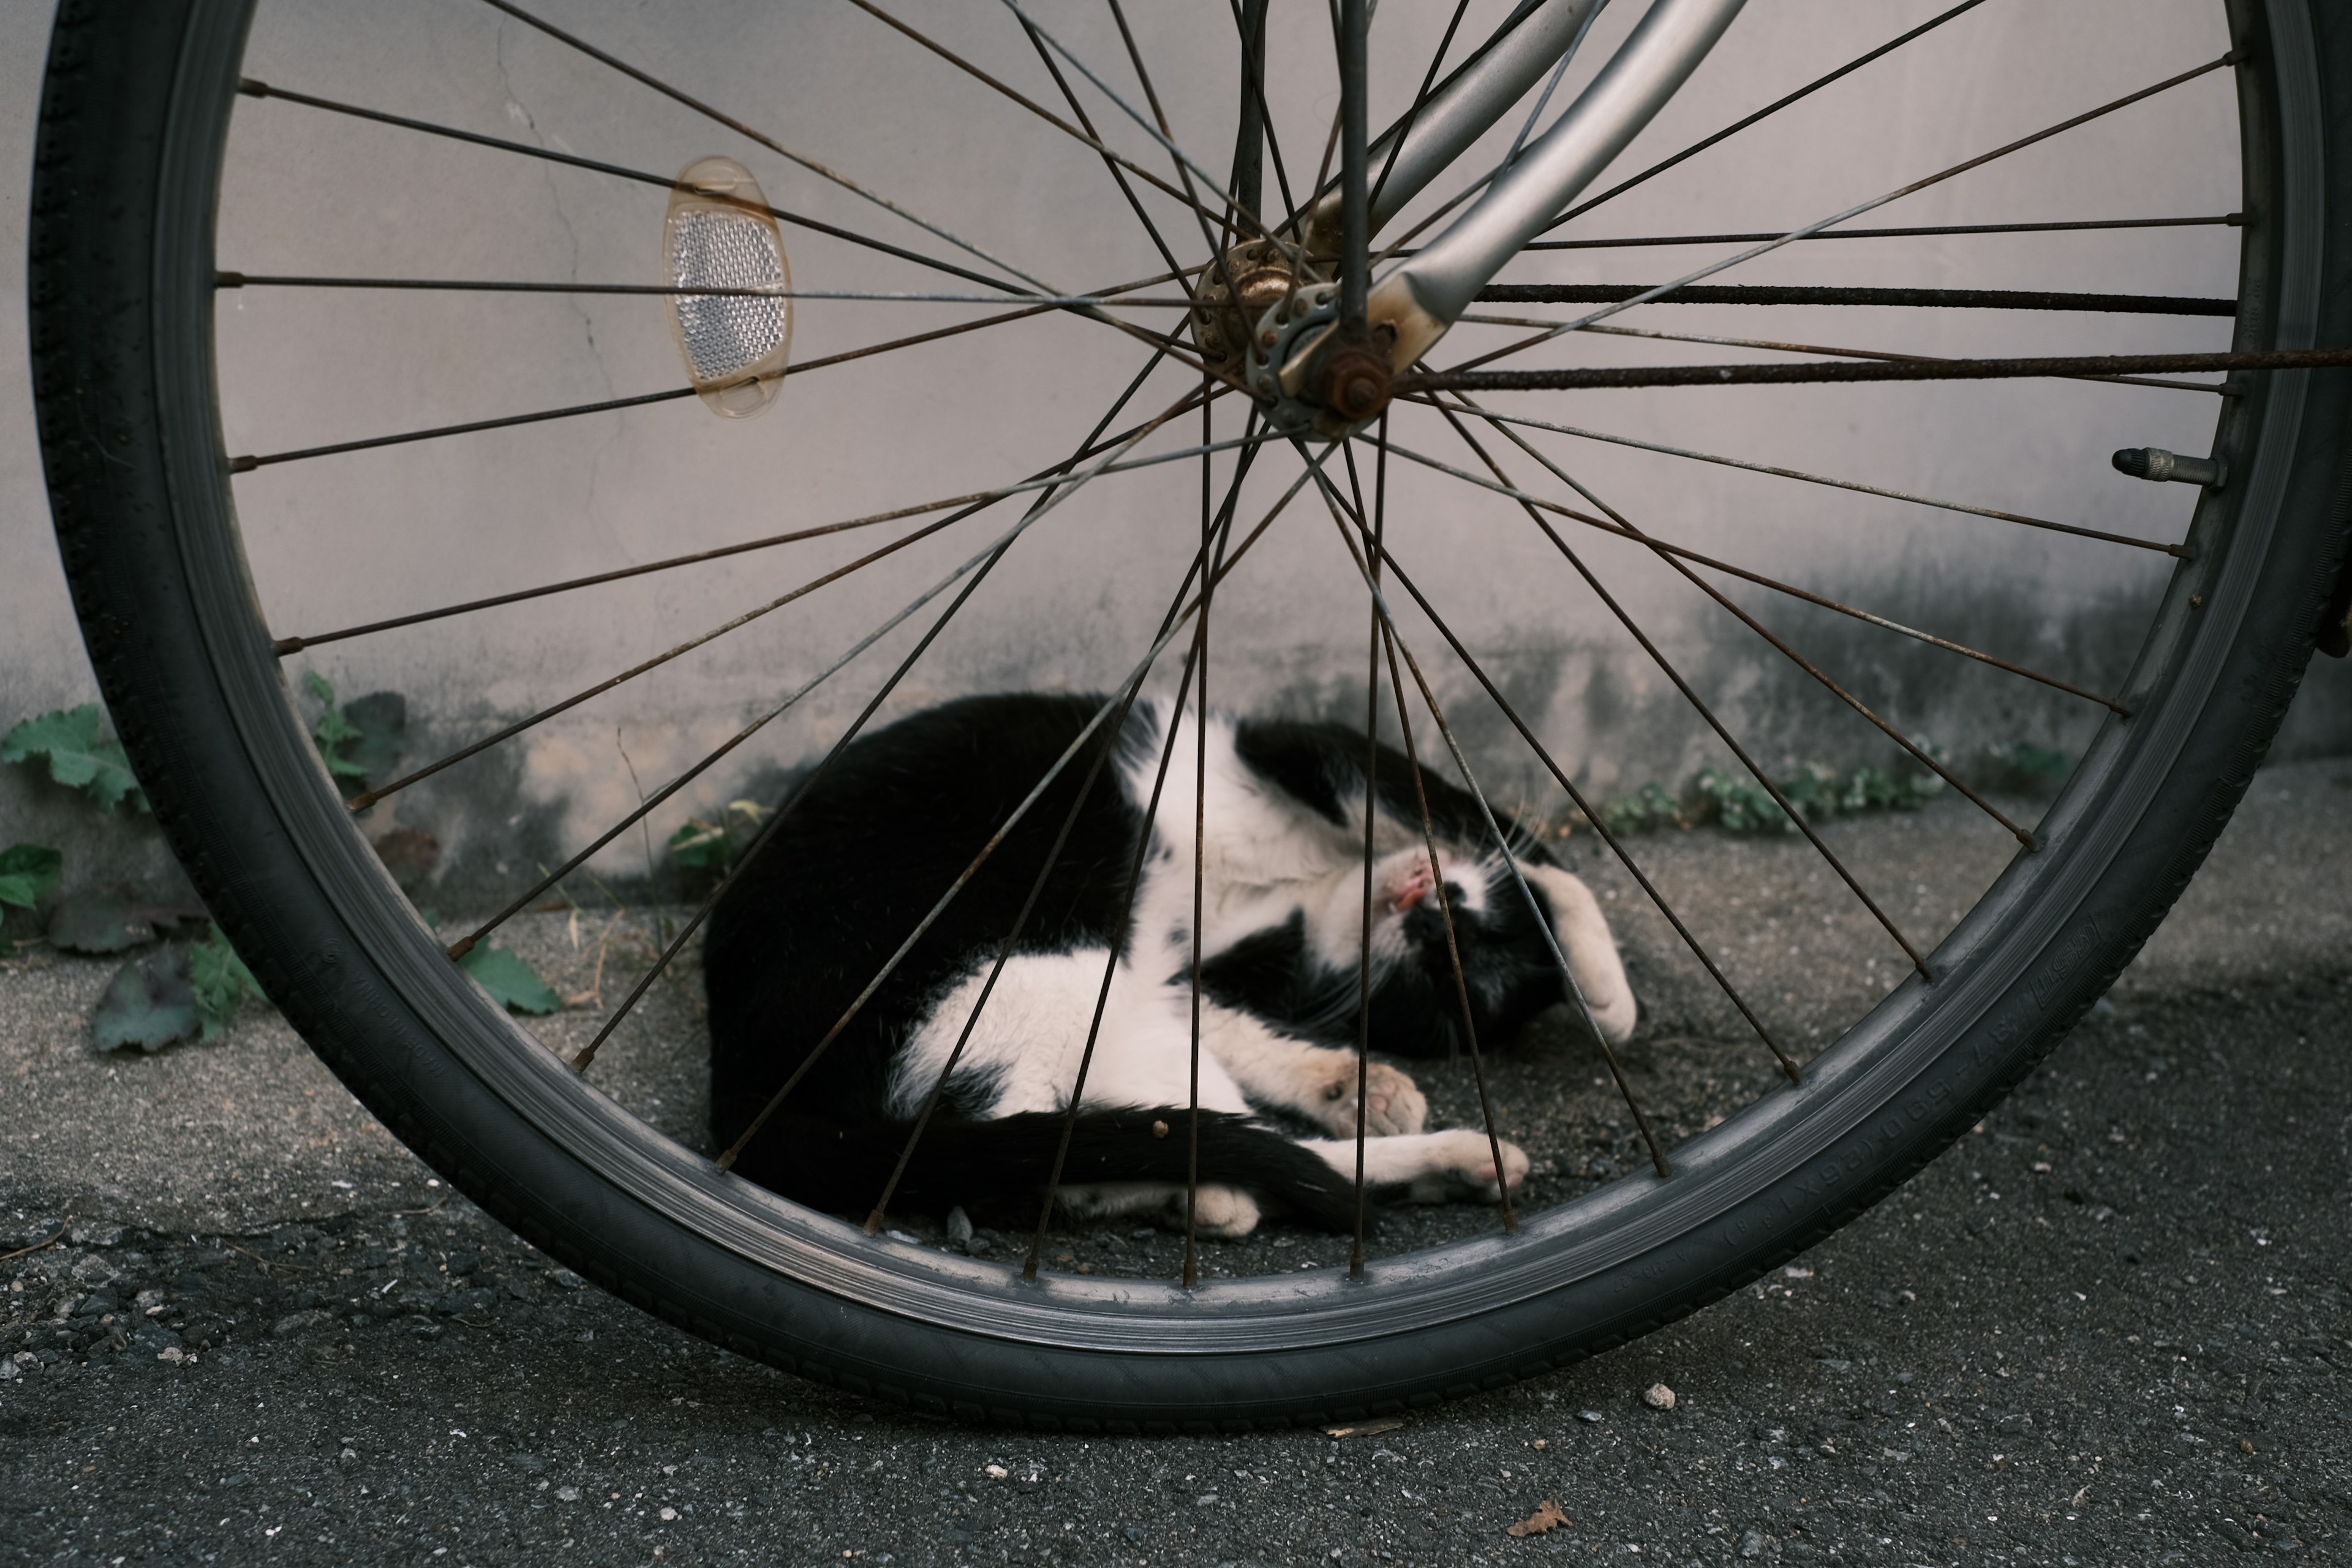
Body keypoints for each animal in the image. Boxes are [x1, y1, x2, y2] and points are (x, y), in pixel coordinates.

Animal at [701, 696, 1637, 1241]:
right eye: (1463, 944)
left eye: (1449, 975)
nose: (1435, 910)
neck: (1316, 885)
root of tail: (744, 1079)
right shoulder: (1308, 749)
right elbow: (1505, 834)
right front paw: (1607, 990)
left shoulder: (1203, 973)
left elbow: (1247, 1029)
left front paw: (1350, 1082)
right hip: (1054, 979)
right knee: (1099, 1149)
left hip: (1090, 1002)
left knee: (1074, 1159)